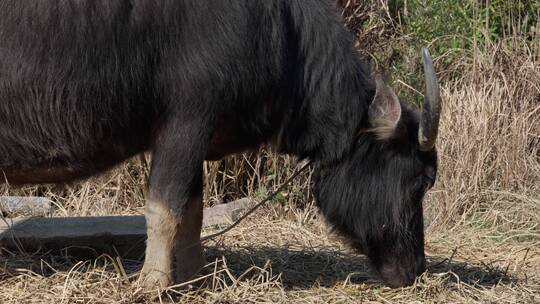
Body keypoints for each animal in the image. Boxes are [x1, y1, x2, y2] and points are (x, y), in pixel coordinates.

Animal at [0, 0, 438, 288]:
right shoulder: (184, 124)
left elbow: (192, 213)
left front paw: (195, 278)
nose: (416, 268)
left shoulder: (198, 139)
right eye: (420, 180)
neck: (282, 32)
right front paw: (153, 284)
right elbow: (164, 209)